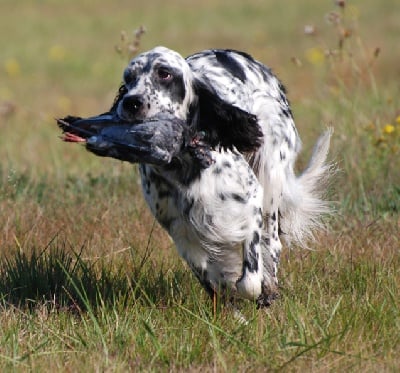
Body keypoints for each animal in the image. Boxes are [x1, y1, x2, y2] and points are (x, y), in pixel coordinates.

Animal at [57, 45, 332, 308]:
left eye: (164, 73)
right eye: (129, 78)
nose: (131, 102)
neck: (184, 162)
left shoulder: (251, 202)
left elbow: (249, 279)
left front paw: (256, 291)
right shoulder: (180, 228)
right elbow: (210, 278)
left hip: (270, 175)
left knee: (272, 241)